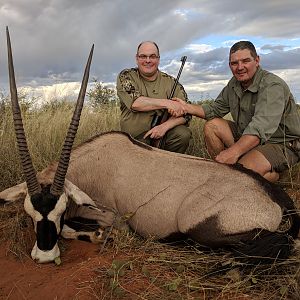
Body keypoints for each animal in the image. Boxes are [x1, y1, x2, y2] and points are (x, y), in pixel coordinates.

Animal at [0, 27, 300, 262]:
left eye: (61, 210)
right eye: (30, 213)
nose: (45, 256)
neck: (90, 167)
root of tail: (277, 198)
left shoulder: (114, 218)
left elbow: (78, 228)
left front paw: (95, 234)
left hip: (204, 228)